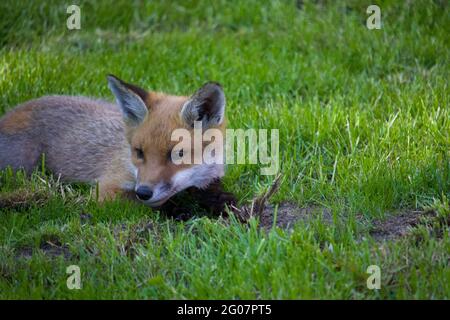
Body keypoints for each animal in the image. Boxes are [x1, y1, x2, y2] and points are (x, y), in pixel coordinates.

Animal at [0, 74, 232, 210]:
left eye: (178, 154)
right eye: (139, 152)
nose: (144, 192)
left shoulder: (211, 181)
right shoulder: (107, 190)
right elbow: (158, 204)